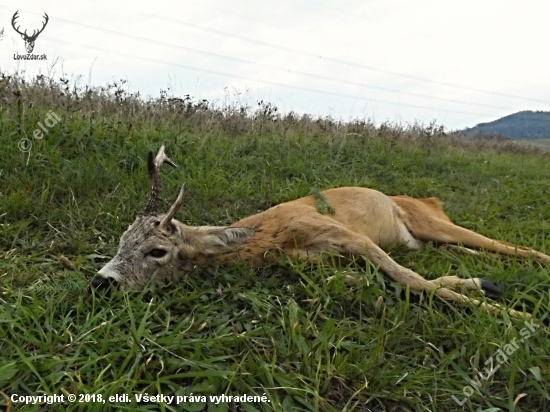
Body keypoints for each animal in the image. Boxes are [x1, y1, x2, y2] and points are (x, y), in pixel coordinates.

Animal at [92, 143, 548, 318]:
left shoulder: (345, 234)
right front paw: (485, 287)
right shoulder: (320, 261)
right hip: (427, 238)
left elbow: (411, 279)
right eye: (121, 242)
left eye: (157, 251)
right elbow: (390, 281)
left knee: (513, 247)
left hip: (433, 222)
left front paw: (514, 315)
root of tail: (426, 199)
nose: (101, 282)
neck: (270, 240)